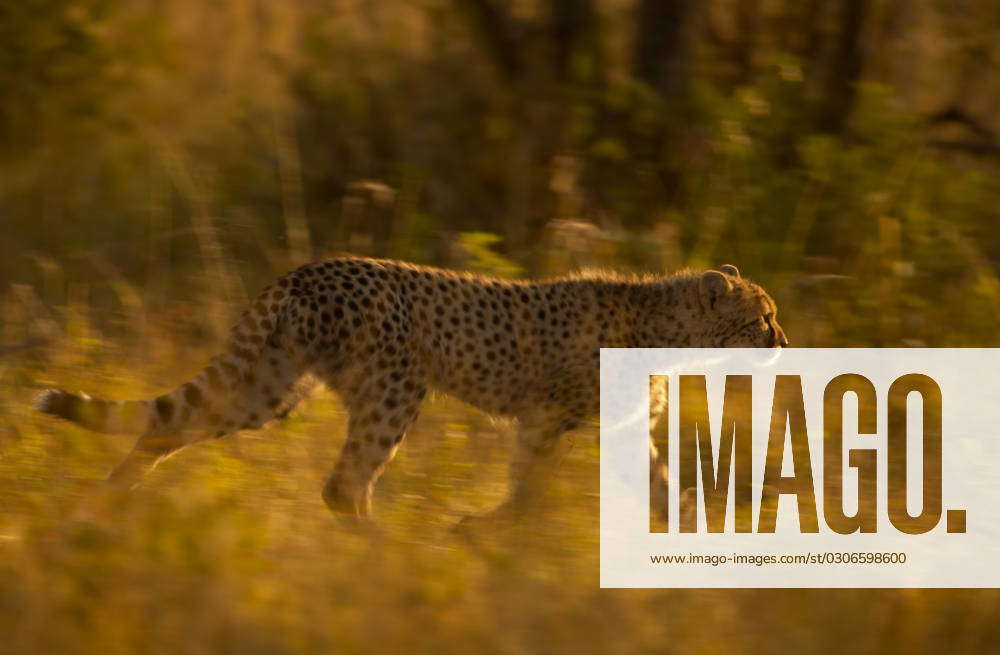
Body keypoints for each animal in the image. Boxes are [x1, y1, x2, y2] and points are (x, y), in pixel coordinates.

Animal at [34, 257, 787, 527]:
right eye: (762, 316)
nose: (783, 340)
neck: (670, 325)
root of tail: (308, 268)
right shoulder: (546, 418)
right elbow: (529, 484)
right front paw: (490, 532)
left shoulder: (616, 427)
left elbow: (662, 487)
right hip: (393, 389)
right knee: (343, 483)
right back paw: (384, 545)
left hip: (270, 388)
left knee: (167, 425)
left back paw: (107, 497)